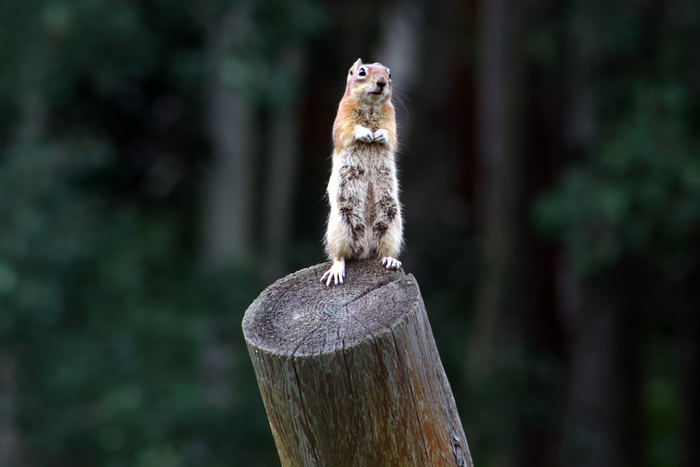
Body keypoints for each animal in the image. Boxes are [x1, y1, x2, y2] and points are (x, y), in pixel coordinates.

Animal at [321, 58, 403, 286]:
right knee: (340, 255)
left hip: (391, 221)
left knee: (383, 251)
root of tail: (365, 248)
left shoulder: (392, 121)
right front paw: (366, 133)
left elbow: (391, 136)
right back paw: (337, 268)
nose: (382, 82)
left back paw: (390, 260)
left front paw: (379, 135)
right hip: (341, 222)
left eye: (390, 74)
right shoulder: (343, 119)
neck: (371, 106)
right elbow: (350, 130)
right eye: (362, 72)